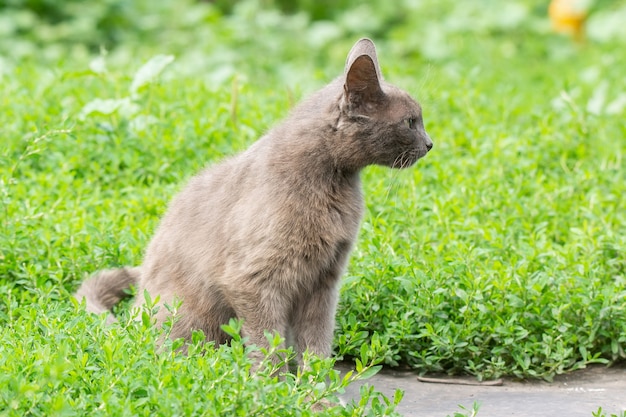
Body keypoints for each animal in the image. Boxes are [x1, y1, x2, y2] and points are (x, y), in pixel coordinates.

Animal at [74, 37, 428, 366]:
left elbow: (316, 340)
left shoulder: (324, 280)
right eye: (411, 121)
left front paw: (317, 385)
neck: (333, 183)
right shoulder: (253, 279)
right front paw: (273, 386)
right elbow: (267, 340)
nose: (430, 143)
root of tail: (131, 323)